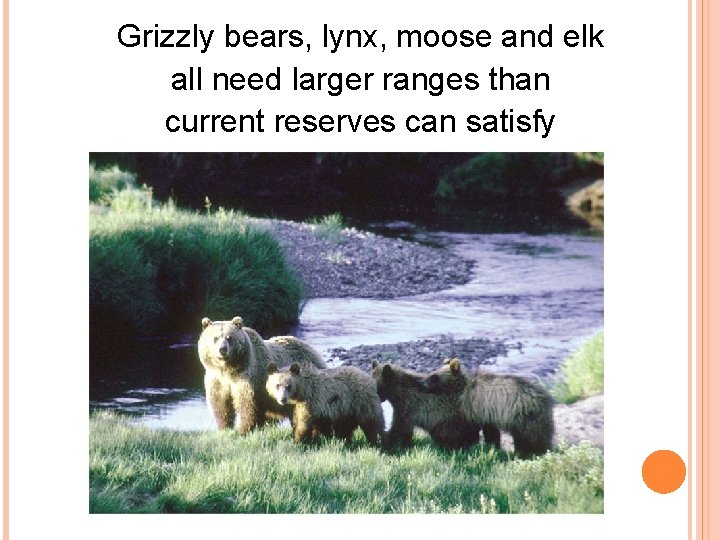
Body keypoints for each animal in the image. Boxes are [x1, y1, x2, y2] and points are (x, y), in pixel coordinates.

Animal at [197, 316, 327, 433]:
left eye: (229, 338)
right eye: (215, 338)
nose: (222, 349)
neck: (228, 370)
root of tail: (312, 349)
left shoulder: (248, 378)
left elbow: (247, 404)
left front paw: (243, 430)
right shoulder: (217, 380)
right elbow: (220, 404)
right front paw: (224, 428)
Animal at [418, 358, 555, 457]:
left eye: (434, 376)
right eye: (431, 373)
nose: (421, 383)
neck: (462, 387)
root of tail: (545, 396)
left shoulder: (476, 405)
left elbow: (475, 429)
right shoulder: (486, 412)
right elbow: (490, 431)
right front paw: (492, 447)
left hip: (525, 415)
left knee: (532, 436)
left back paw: (533, 452)